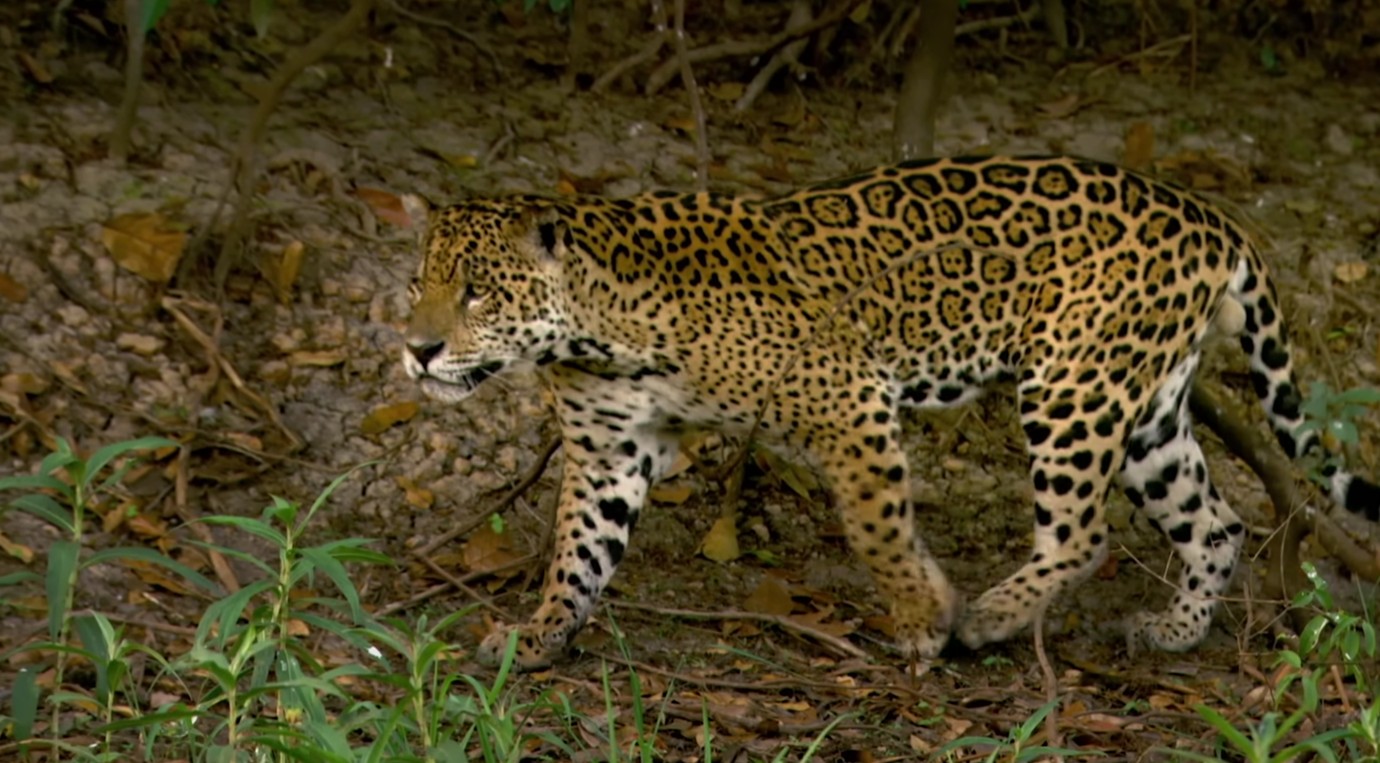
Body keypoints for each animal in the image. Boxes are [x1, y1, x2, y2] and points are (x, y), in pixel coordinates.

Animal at [400, 155, 1380, 670]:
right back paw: (1174, 630)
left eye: (478, 292)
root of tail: (1211, 216)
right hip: (1147, 412)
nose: (418, 348)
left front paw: (922, 617)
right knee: (1213, 519)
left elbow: (876, 526)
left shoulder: (850, 399)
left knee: (1084, 531)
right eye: (418, 284)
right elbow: (577, 551)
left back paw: (991, 617)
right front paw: (536, 636)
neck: (596, 330)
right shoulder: (610, 449)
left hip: (1073, 388)